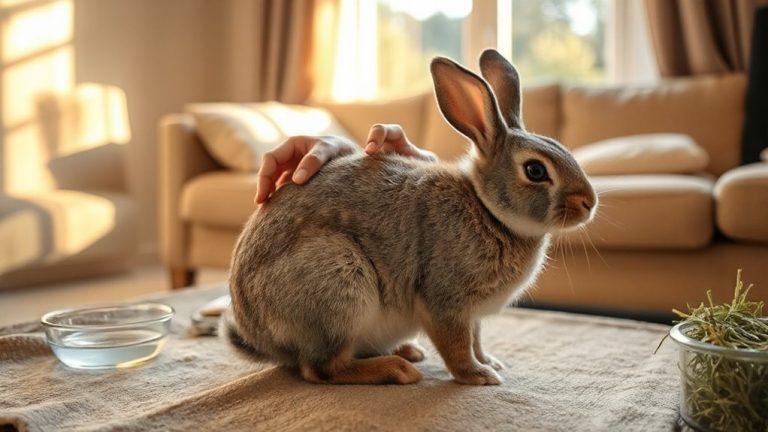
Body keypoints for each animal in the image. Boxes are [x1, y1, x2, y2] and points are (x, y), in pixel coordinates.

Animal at [227, 49, 597, 386]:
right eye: (535, 170)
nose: (589, 202)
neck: (488, 211)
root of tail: (260, 337)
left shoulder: (472, 314)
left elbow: (475, 339)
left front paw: (489, 362)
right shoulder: (445, 301)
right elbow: (457, 345)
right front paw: (478, 375)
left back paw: (406, 352)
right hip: (338, 282)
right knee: (321, 368)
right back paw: (396, 370)